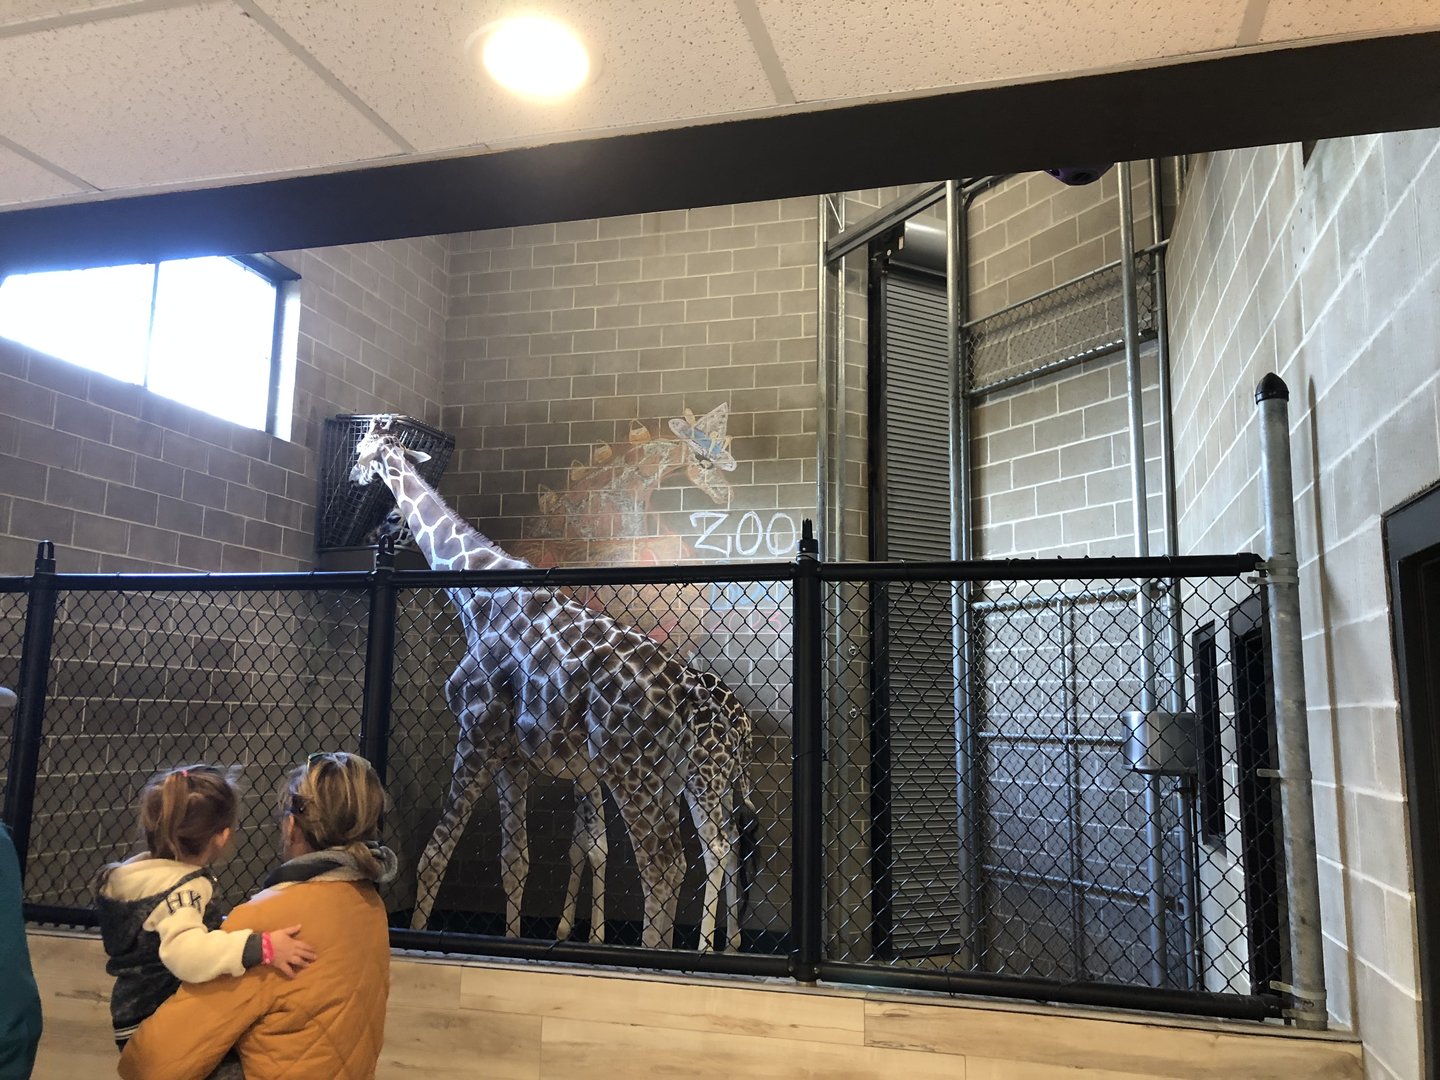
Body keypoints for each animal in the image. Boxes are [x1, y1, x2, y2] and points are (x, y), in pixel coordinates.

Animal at [351, 417, 753, 949]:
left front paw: (417, 935)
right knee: (696, 854)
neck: (476, 591)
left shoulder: (477, 731)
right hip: (670, 777)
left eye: (362, 449)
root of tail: (688, 696)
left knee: (669, 863)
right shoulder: (514, 755)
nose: (356, 478)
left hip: (639, 771)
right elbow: (517, 861)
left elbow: (434, 853)